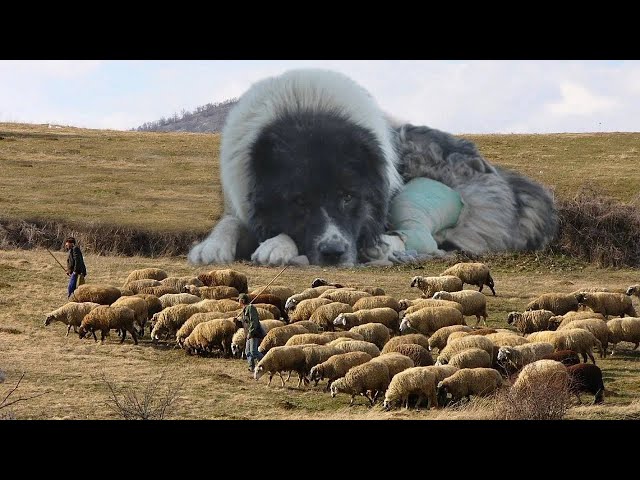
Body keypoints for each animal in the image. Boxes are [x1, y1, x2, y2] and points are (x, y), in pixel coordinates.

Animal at [188, 68, 556, 266]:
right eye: (300, 201)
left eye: (348, 197)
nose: (334, 253)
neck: (304, 109)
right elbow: (232, 221)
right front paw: (212, 246)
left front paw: (277, 246)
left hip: (417, 201)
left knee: (424, 241)